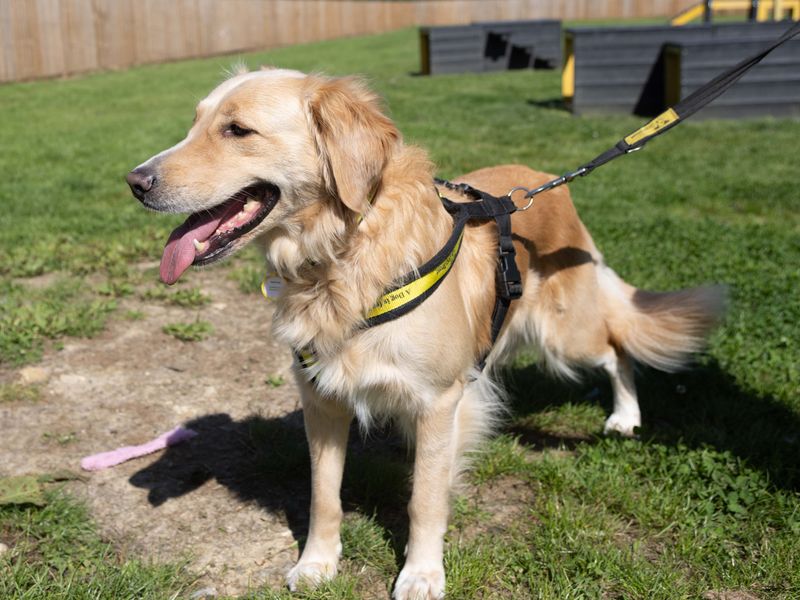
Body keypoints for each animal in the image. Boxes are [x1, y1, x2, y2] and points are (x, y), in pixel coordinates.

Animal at [125, 68, 724, 596]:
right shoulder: (322, 400)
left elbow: (425, 499)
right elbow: (324, 495)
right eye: (195, 123)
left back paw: (625, 415)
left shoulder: (438, 401)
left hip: (565, 331)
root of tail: (543, 184)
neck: (343, 257)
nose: (134, 182)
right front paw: (317, 563)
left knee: (616, 348)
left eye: (237, 130)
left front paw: (421, 574)